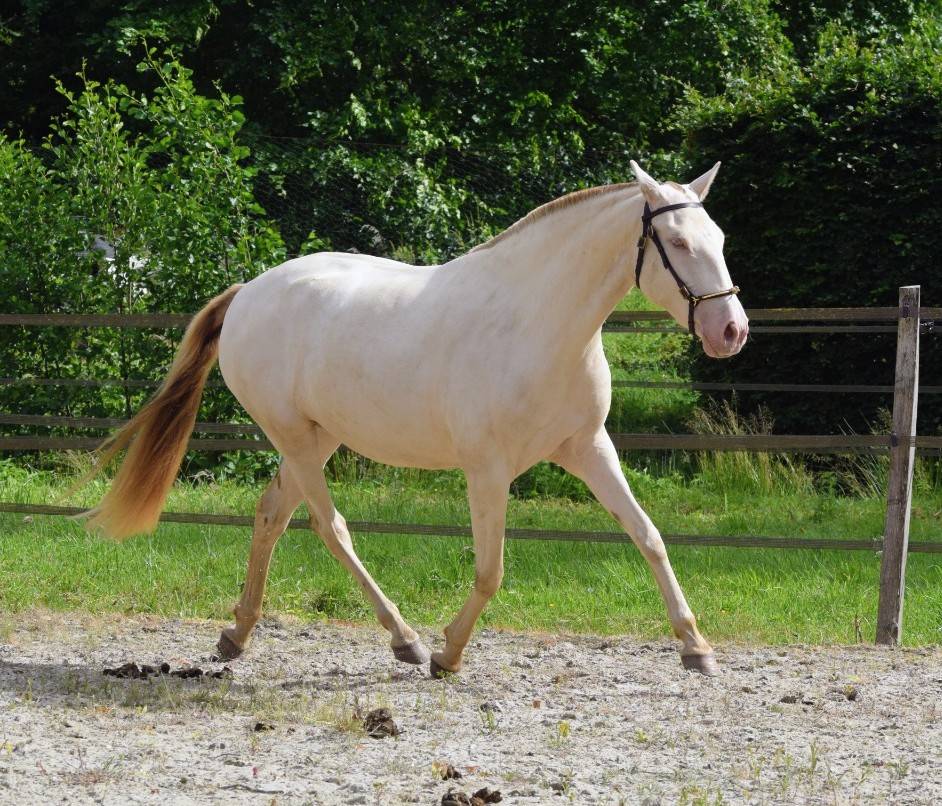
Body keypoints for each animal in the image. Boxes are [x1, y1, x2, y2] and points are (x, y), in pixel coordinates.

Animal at [80, 161, 748, 678]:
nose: (731, 331)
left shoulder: (587, 448)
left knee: (272, 513)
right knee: (330, 527)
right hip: (294, 438)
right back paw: (406, 641)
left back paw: (236, 635)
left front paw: (696, 648)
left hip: (317, 440)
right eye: (679, 244)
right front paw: (448, 655)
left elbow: (648, 535)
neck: (537, 325)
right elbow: (490, 571)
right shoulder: (487, 469)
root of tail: (248, 293)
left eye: (719, 238)